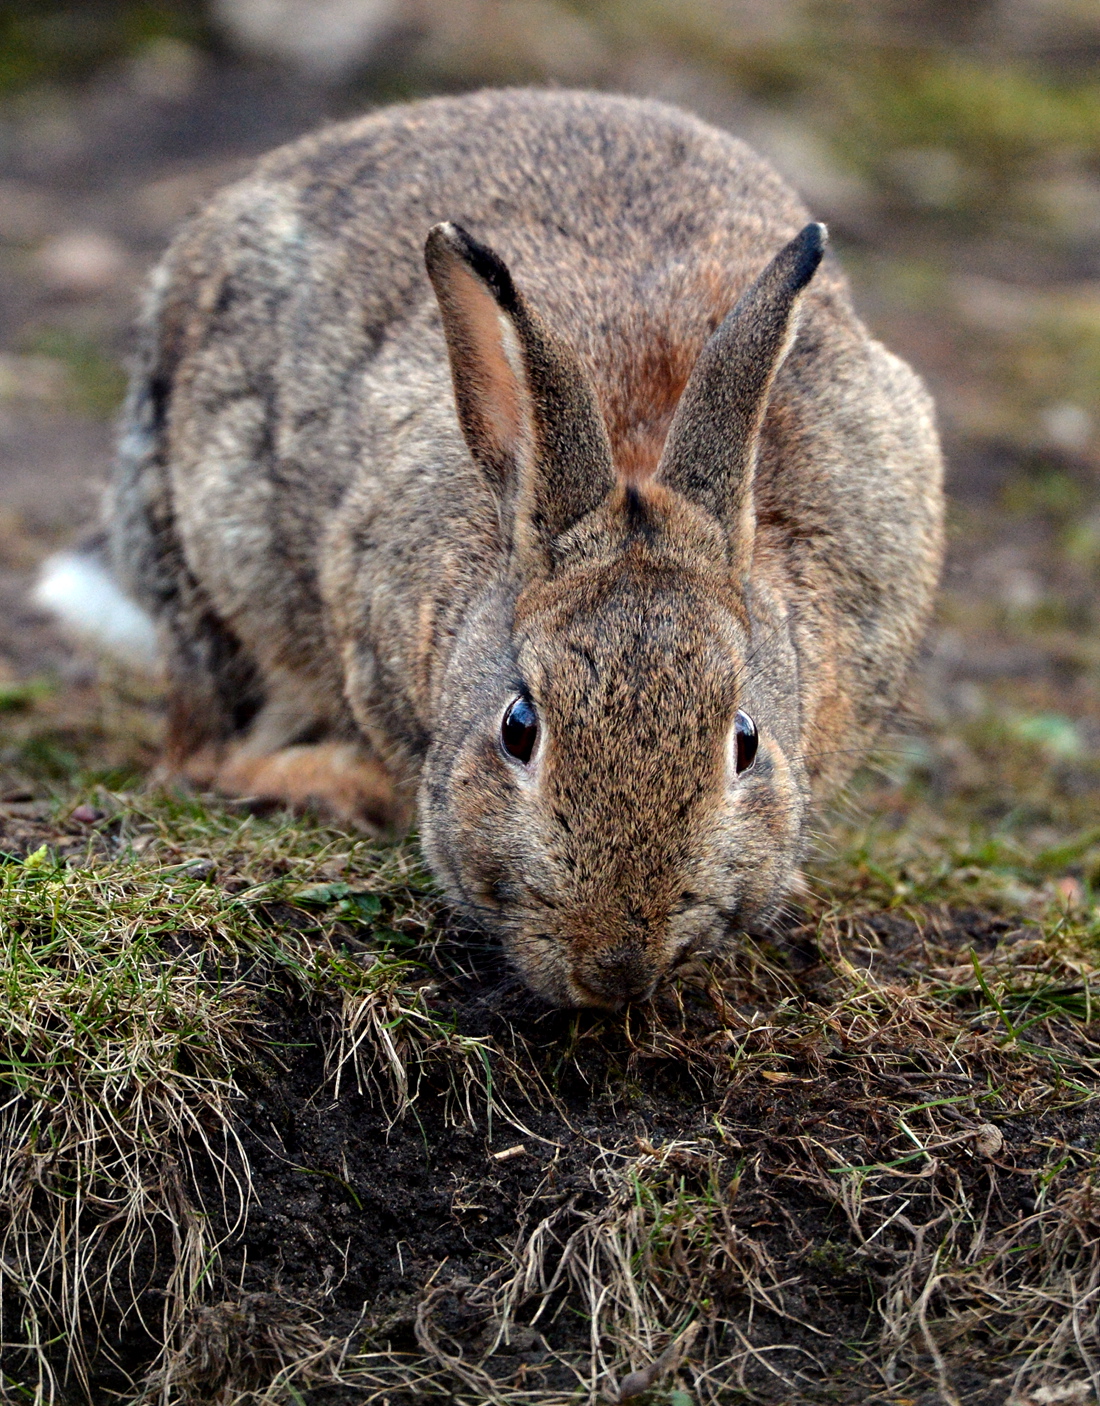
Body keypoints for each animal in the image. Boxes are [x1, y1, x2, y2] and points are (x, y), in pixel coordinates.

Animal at [73, 87, 943, 1007]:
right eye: (518, 728)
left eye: (744, 742)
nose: (615, 968)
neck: (631, 464)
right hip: (201, 570)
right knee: (198, 754)